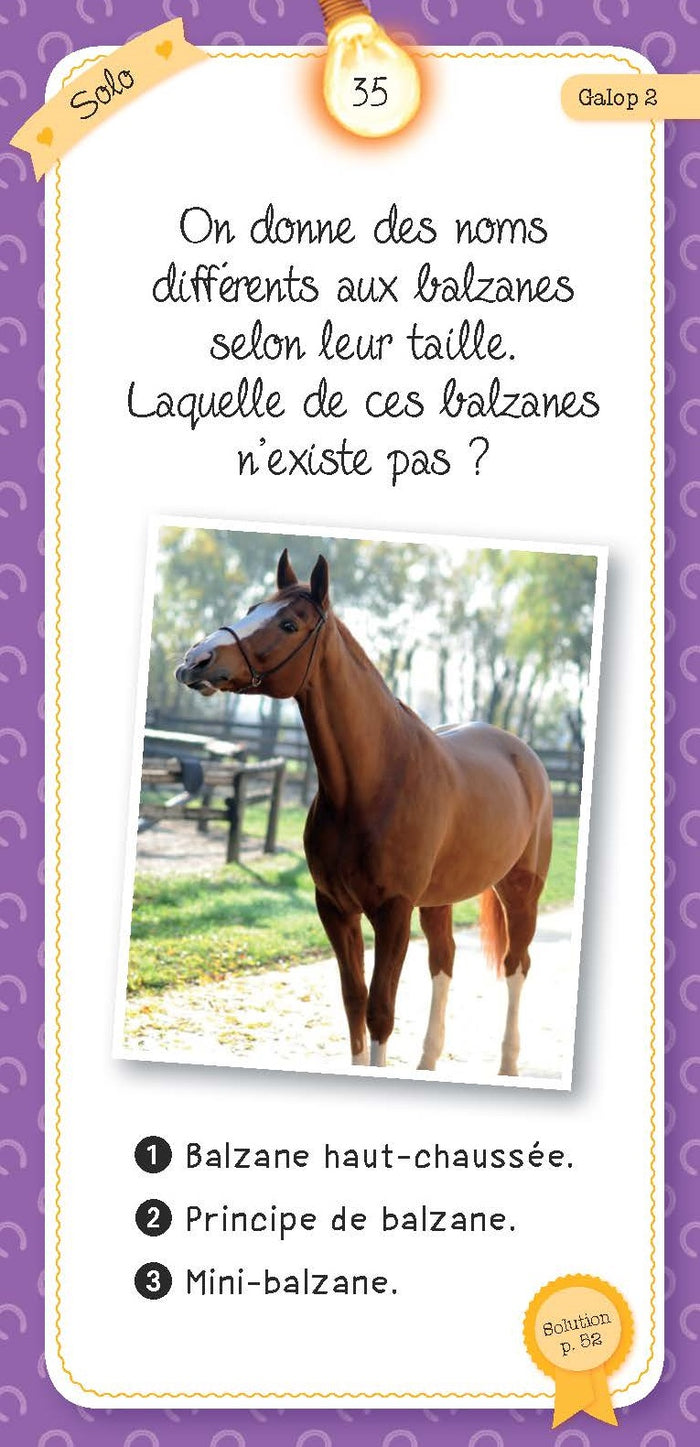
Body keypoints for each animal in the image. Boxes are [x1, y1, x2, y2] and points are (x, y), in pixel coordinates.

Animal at [176, 549, 553, 1076]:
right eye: (252, 608)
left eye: (289, 623)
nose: (196, 660)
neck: (374, 782)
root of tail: (523, 754)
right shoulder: (335, 908)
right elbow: (354, 1000)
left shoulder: (392, 912)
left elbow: (380, 1010)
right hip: (437, 901)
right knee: (444, 961)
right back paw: (428, 1061)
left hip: (520, 890)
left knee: (517, 966)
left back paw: (508, 1065)